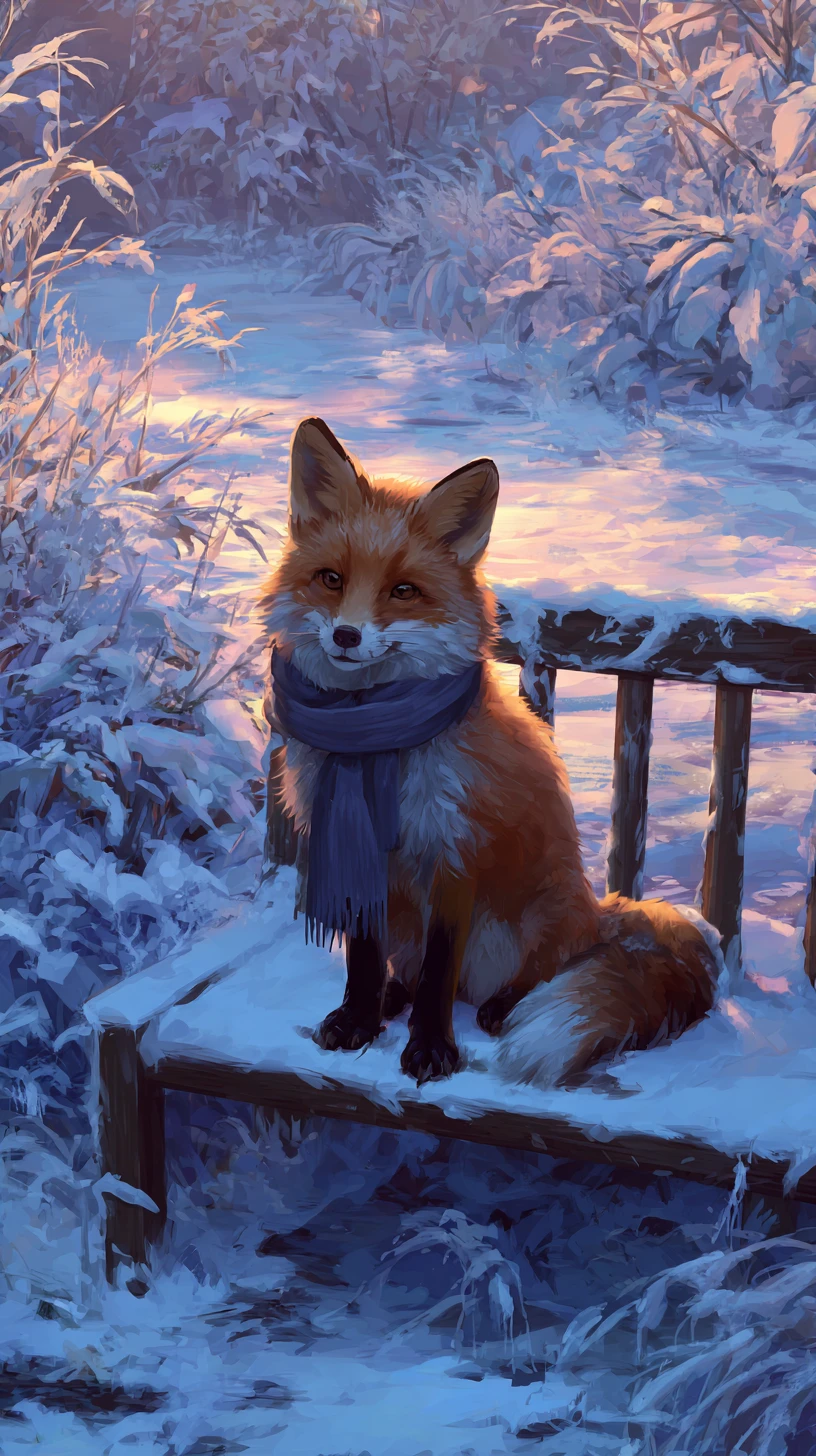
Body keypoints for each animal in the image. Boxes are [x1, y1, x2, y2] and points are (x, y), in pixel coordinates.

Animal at [260, 416, 718, 1088]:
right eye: (331, 579)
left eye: (403, 590)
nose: (346, 635)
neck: (376, 741)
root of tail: (599, 910)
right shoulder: (359, 855)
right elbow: (365, 959)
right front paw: (359, 1020)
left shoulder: (455, 851)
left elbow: (439, 974)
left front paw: (429, 1050)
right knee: (409, 968)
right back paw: (392, 997)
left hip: (536, 920)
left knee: (525, 977)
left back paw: (504, 1006)